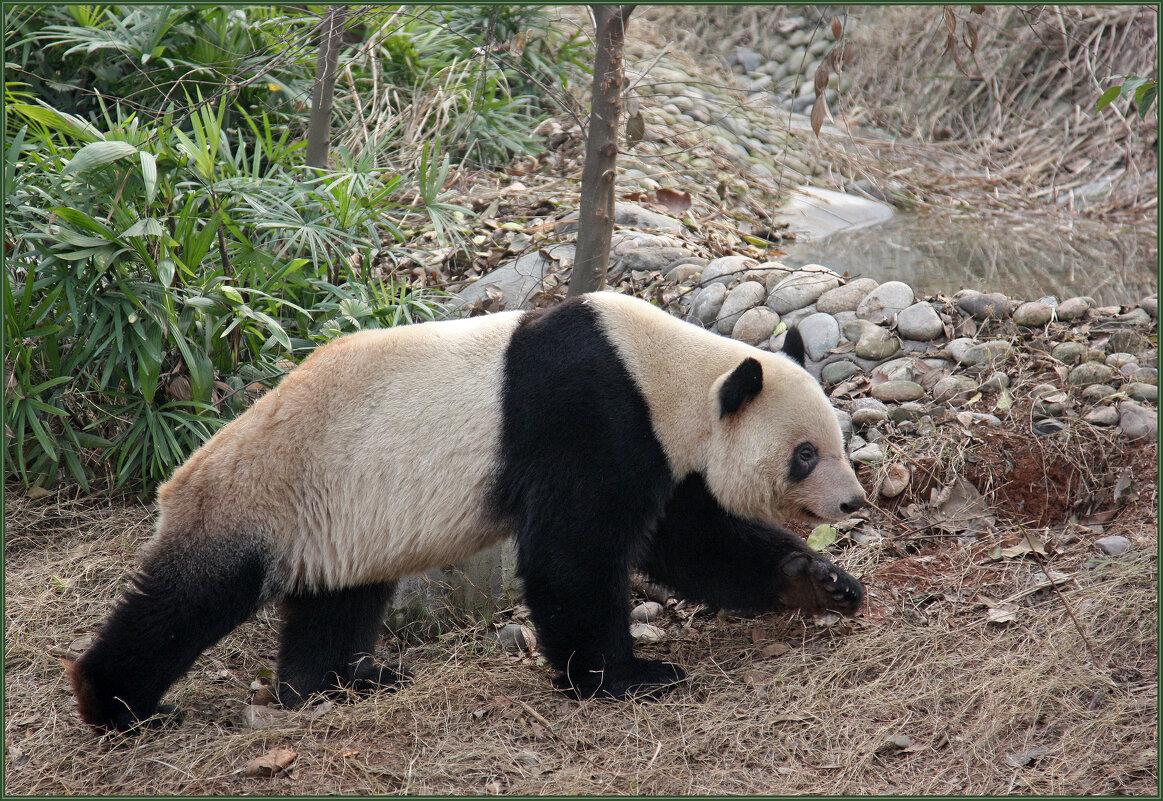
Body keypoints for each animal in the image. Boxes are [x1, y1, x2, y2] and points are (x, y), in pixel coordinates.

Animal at [63, 290, 865, 730]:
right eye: (803, 454)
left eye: (835, 440)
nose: (852, 499)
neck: (674, 371)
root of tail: (179, 478)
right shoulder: (592, 414)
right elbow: (574, 555)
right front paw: (624, 678)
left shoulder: (659, 447)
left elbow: (692, 543)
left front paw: (824, 582)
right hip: (261, 497)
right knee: (187, 601)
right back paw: (117, 704)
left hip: (341, 514)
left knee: (336, 601)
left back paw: (339, 684)